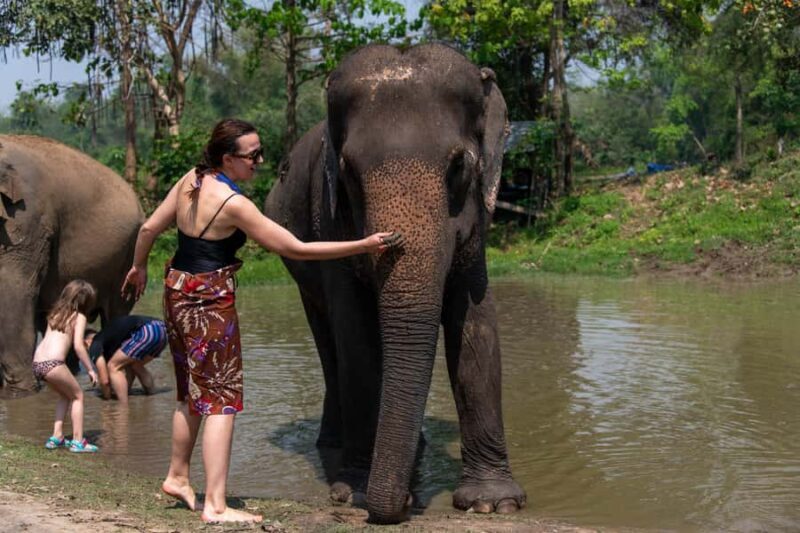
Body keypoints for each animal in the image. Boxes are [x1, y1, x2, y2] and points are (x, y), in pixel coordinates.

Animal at [265, 43, 526, 523]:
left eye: (458, 166)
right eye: (348, 172)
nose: (403, 504)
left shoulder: (477, 225)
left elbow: (476, 328)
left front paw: (492, 504)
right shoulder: (328, 220)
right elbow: (356, 338)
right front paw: (355, 492)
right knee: (329, 346)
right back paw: (334, 445)